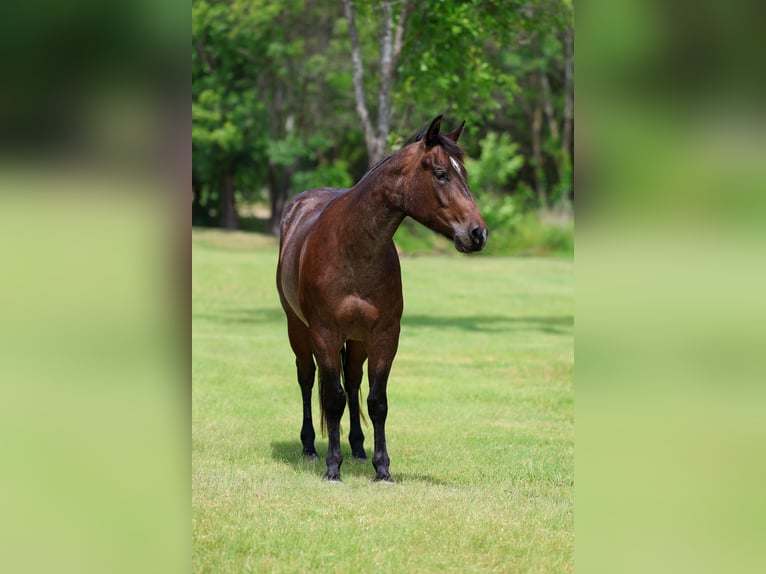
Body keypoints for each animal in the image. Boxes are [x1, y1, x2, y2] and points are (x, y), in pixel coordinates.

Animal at [276, 114, 488, 482]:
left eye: (465, 173)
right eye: (441, 173)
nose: (478, 234)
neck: (353, 248)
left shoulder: (384, 335)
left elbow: (376, 401)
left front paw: (382, 468)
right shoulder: (325, 333)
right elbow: (332, 398)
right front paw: (333, 468)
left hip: (358, 340)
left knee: (352, 380)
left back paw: (358, 448)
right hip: (298, 329)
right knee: (307, 378)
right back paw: (310, 446)